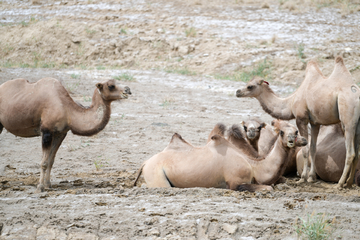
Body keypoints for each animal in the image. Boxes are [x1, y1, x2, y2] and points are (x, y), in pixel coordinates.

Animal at [0, 78, 131, 192]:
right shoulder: (47, 131)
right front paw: (40, 187)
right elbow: (44, 162)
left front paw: (48, 185)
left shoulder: (60, 133)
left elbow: (51, 160)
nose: (128, 89)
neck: (68, 111)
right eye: (111, 86)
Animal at [134, 121, 308, 192]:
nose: (293, 140)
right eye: (282, 132)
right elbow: (268, 187)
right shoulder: (235, 182)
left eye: (296, 131)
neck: (254, 166)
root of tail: (145, 162)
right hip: (157, 176)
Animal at [236, 56, 360, 188]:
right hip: (357, 124)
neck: (291, 102)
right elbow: (313, 148)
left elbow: (305, 149)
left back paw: (340, 183)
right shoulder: (315, 123)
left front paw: (303, 178)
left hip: (348, 119)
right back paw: (349, 182)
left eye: (250, 86)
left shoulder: (301, 119)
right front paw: (311, 177)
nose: (237, 92)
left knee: (350, 152)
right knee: (357, 152)